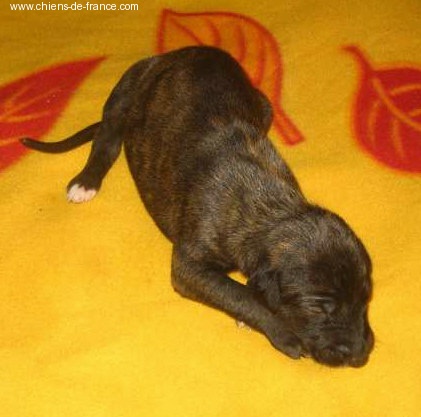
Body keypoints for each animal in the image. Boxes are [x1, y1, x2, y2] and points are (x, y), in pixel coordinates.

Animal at [22, 46, 374, 367]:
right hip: (127, 87)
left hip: (263, 105)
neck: (272, 210)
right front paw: (281, 330)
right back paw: (86, 182)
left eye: (366, 297)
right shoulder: (189, 266)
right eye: (318, 307)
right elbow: (238, 293)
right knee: (106, 138)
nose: (359, 355)